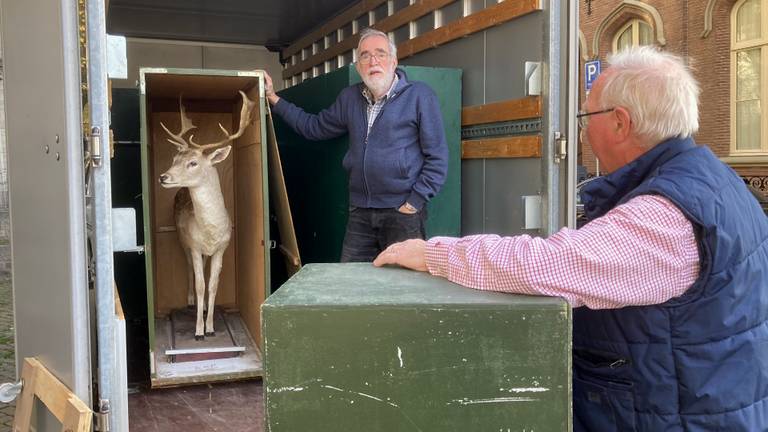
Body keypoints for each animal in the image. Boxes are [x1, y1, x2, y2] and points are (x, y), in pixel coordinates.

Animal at [158, 92, 255, 340]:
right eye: (174, 160)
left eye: (193, 162)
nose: (163, 177)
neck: (211, 231)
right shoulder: (193, 245)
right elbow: (201, 284)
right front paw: (199, 331)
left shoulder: (222, 248)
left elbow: (213, 285)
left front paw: (210, 327)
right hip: (182, 241)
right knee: (190, 269)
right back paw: (192, 301)